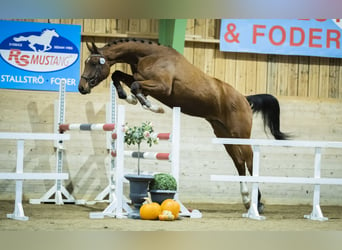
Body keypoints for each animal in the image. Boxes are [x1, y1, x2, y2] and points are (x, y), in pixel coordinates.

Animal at [78, 38, 288, 213]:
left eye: (94, 63)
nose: (82, 88)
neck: (149, 56)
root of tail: (244, 98)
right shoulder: (141, 78)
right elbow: (119, 75)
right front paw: (128, 97)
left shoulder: (162, 86)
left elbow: (136, 86)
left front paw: (149, 105)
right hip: (224, 134)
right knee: (238, 161)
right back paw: (246, 199)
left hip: (240, 134)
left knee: (249, 159)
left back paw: (257, 203)